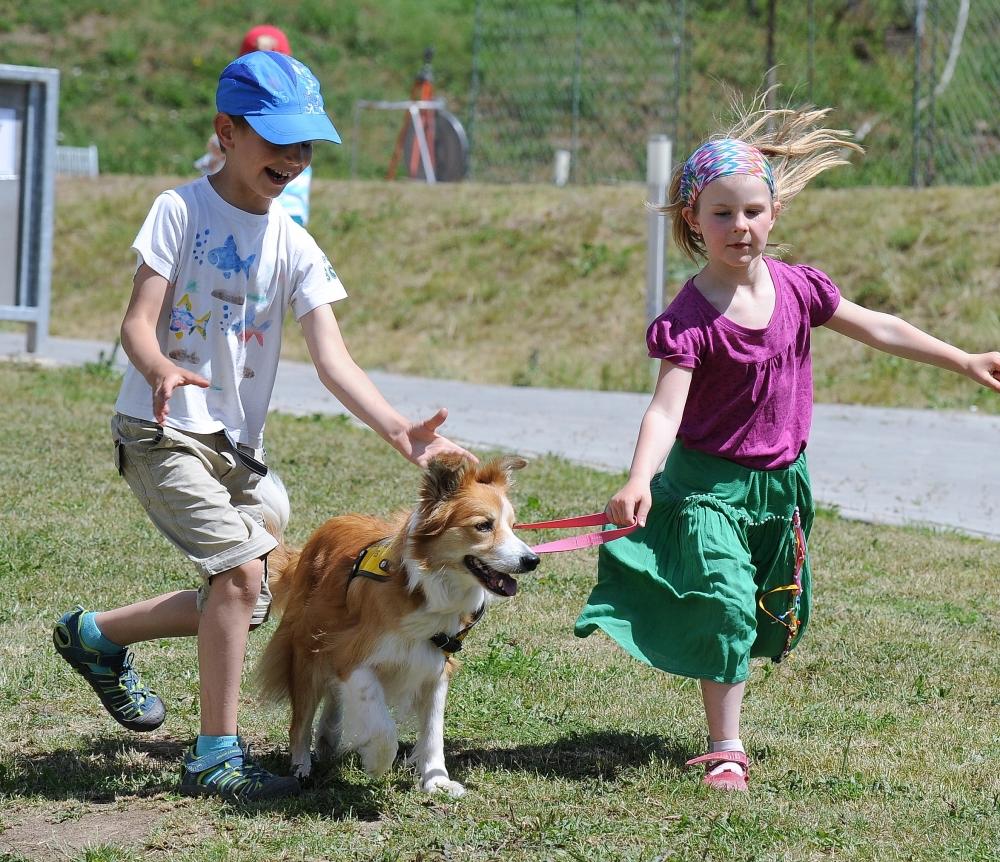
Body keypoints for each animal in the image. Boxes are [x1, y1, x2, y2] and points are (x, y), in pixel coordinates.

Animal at [256, 453, 540, 796]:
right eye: (483, 526)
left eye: (513, 526)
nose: (532, 560)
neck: (424, 586)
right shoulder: (352, 654)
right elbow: (382, 726)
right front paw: (377, 762)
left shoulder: (436, 664)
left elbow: (433, 729)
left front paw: (436, 779)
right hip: (306, 649)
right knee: (301, 720)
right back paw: (302, 766)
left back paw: (327, 739)